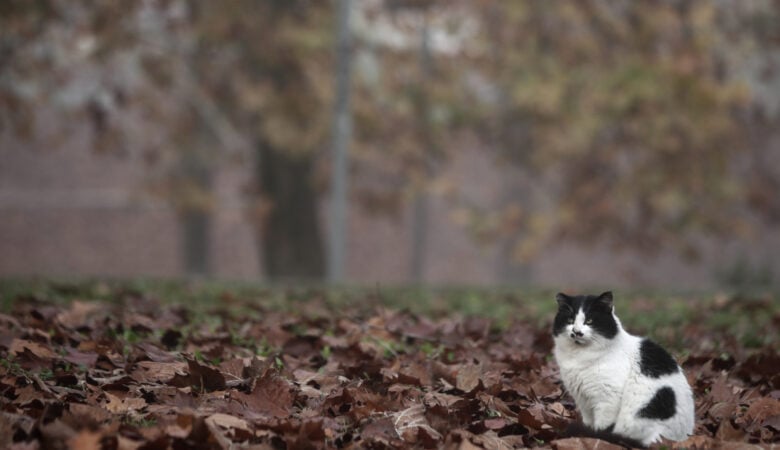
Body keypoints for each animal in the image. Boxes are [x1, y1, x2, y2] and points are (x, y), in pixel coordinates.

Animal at [552, 292, 692, 446]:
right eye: (570, 320)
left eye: (589, 321)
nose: (576, 332)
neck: (579, 357)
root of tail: (684, 436)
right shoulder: (583, 401)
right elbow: (588, 422)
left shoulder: (608, 399)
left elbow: (602, 427)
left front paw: (596, 437)